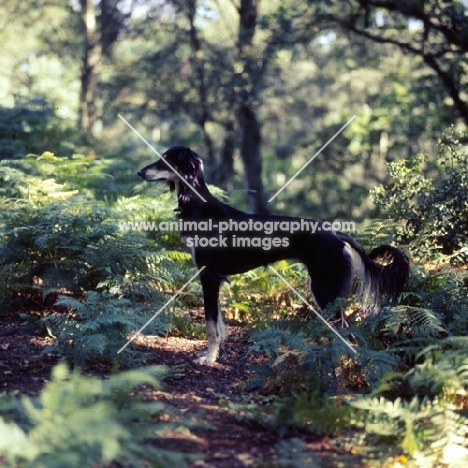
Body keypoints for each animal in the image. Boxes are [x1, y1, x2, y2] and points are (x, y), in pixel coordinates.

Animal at [138, 146, 410, 366]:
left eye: (165, 159)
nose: (140, 172)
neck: (199, 205)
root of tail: (337, 233)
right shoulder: (216, 279)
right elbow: (218, 324)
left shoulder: (209, 276)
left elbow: (210, 324)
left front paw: (209, 359)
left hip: (324, 288)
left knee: (344, 329)